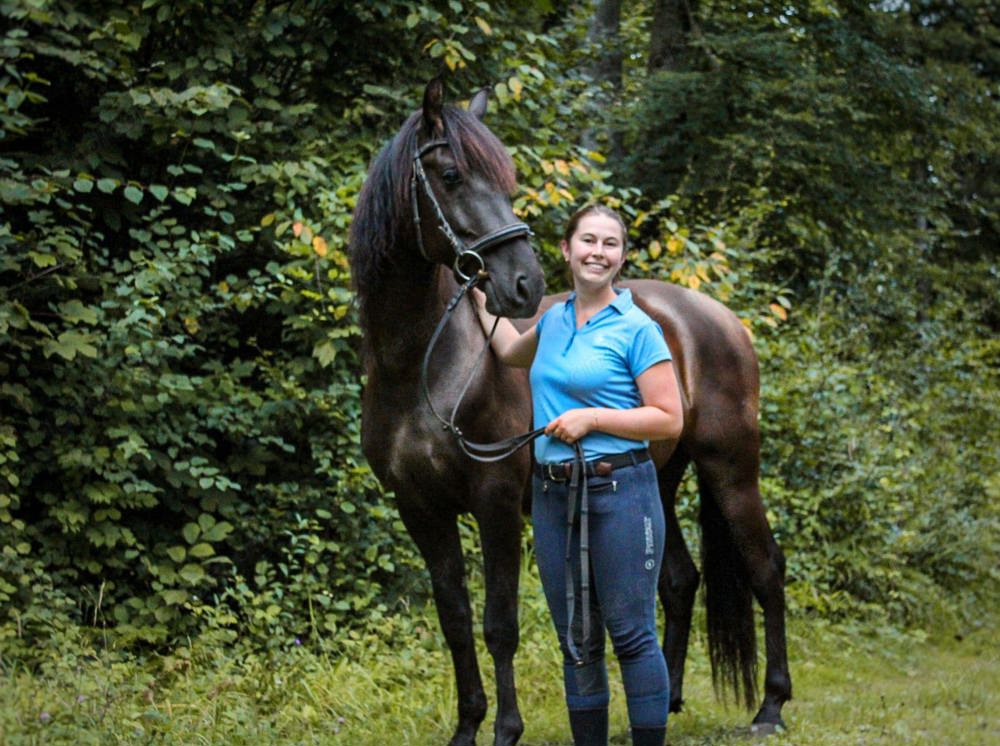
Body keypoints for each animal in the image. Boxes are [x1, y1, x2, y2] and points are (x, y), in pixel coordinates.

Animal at [348, 78, 792, 740]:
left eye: (505, 181)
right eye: (451, 175)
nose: (524, 284)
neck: (422, 370)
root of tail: (719, 318)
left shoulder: (494, 501)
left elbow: (499, 624)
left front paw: (506, 730)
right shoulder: (419, 509)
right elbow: (455, 622)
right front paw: (467, 727)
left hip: (732, 470)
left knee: (766, 568)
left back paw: (770, 707)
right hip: (660, 477)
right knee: (678, 581)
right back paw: (670, 699)